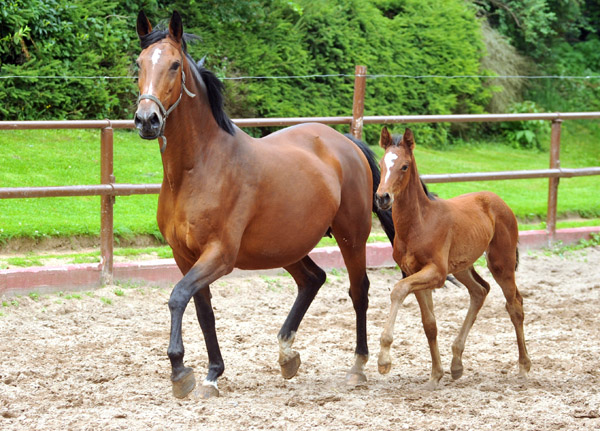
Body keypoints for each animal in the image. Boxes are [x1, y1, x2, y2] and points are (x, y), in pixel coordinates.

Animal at [376, 126, 528, 390]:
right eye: (381, 164)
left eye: (404, 166)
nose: (382, 197)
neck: (420, 222)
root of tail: (498, 200)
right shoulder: (414, 272)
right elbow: (429, 324)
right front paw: (435, 375)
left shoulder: (436, 273)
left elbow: (398, 290)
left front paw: (384, 359)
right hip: (461, 266)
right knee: (480, 290)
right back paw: (456, 363)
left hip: (501, 262)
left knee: (514, 306)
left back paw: (523, 367)